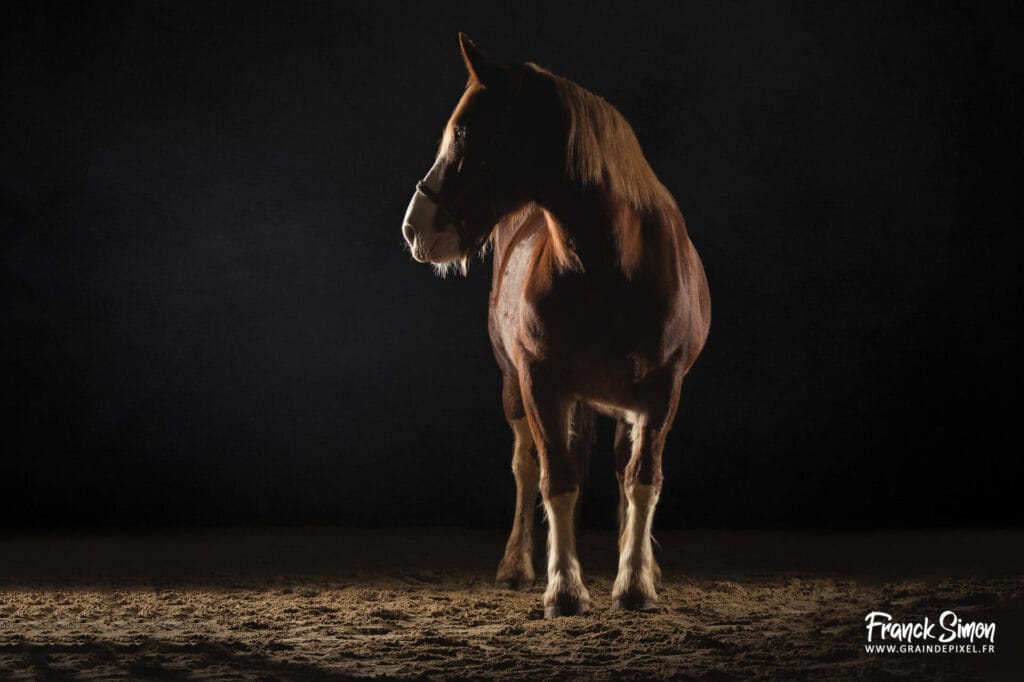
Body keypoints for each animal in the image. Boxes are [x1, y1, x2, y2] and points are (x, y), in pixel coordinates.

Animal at [401, 34, 711, 618]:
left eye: (466, 132)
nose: (414, 228)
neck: (613, 266)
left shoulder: (663, 390)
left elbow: (642, 480)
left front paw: (635, 583)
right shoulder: (540, 382)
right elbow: (556, 479)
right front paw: (564, 588)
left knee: (622, 467)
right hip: (514, 388)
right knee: (526, 467)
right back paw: (517, 565)